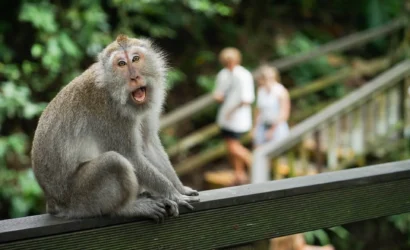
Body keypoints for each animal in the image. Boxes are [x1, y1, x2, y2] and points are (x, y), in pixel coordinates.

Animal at [30, 33, 199, 223]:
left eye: (135, 59)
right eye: (121, 64)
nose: (134, 77)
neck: (114, 91)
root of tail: (53, 202)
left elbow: (148, 144)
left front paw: (180, 188)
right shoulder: (110, 116)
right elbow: (130, 156)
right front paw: (172, 193)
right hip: (80, 198)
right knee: (115, 162)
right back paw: (128, 208)